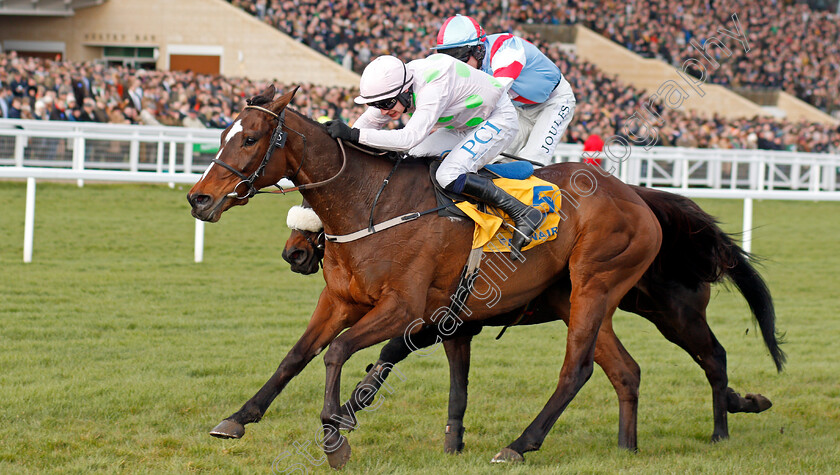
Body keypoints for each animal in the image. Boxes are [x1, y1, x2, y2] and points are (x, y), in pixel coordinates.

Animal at [190, 85, 684, 468]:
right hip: (575, 299)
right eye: (221, 135)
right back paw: (626, 447)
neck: (372, 204)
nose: (199, 199)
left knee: (576, 369)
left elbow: (338, 352)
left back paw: (518, 445)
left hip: (593, 286)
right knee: (624, 369)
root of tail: (636, 195)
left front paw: (333, 438)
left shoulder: (404, 308)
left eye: (250, 138)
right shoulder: (340, 301)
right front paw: (238, 418)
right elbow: (295, 356)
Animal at [286, 187, 784, 454]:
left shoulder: (432, 314)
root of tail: (646, 204)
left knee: (711, 356)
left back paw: (721, 428)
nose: (294, 253)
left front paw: (349, 408)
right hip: (608, 307)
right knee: (630, 369)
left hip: (667, 309)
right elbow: (446, 380)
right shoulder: (453, 321)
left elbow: (388, 352)